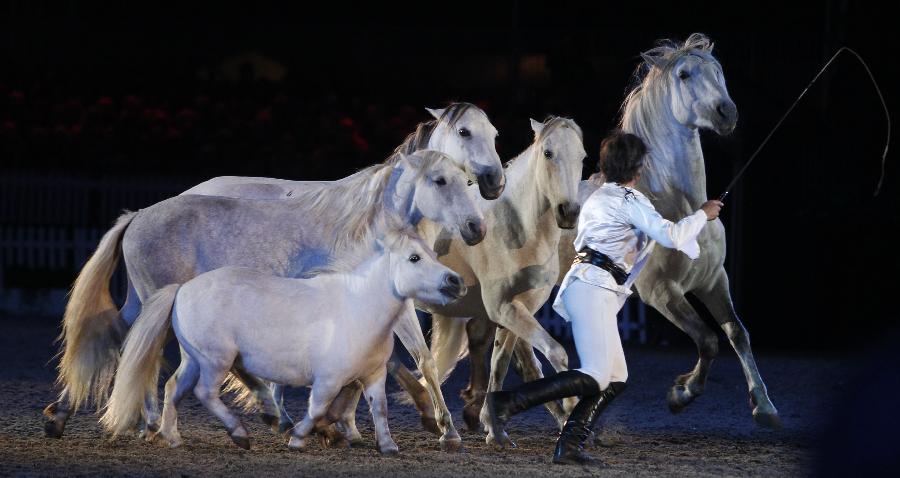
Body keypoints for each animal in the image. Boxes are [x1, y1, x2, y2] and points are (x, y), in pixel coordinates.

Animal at [102, 229, 464, 456]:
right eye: (414, 258)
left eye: (433, 254)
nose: (455, 281)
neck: (358, 307)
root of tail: (182, 289)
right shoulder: (327, 380)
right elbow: (317, 409)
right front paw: (300, 437)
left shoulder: (374, 375)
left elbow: (380, 409)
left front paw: (387, 446)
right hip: (215, 360)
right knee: (205, 393)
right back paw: (239, 433)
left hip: (194, 359)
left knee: (173, 388)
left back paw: (172, 437)